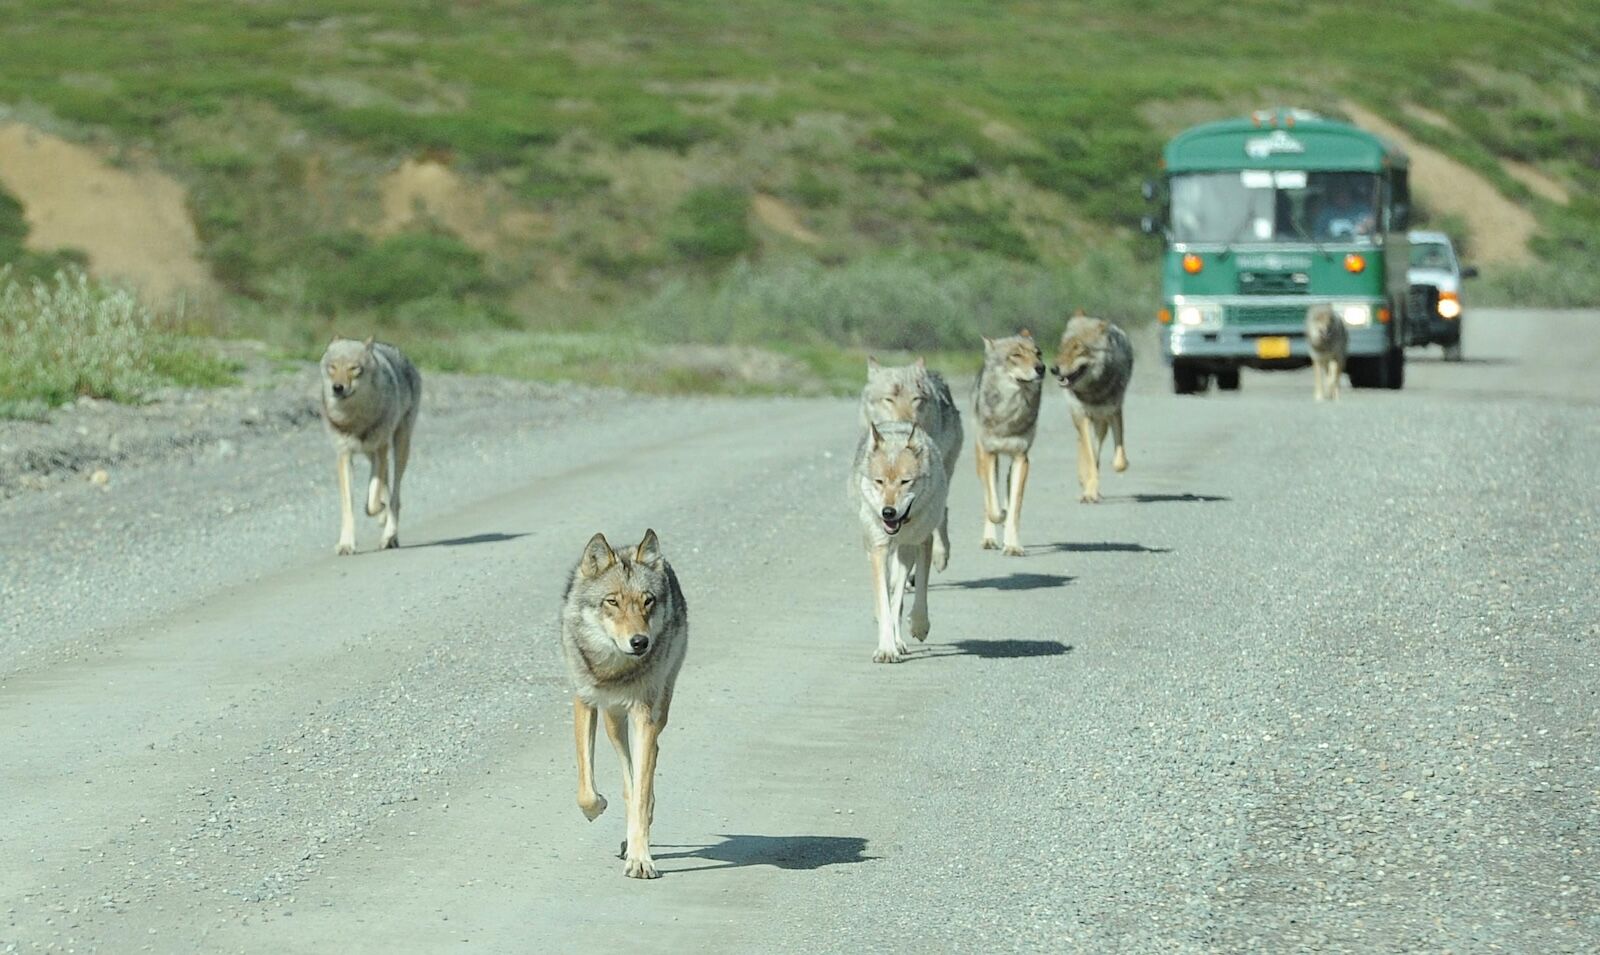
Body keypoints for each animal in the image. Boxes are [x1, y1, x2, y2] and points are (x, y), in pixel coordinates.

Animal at [320, 337, 422, 554]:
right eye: (333, 367)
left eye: (354, 368)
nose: (337, 387)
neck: (355, 419)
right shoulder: (344, 455)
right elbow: (349, 506)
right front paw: (346, 544)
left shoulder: (381, 448)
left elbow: (372, 502)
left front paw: (379, 509)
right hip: (370, 454)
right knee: (387, 485)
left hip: (399, 446)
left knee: (396, 496)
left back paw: (389, 535)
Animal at [561, 529, 688, 880]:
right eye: (612, 601)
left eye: (648, 600)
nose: (640, 642)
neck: (613, 669)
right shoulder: (584, 702)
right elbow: (586, 790)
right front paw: (598, 807)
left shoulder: (644, 714)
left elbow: (641, 789)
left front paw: (640, 858)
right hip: (612, 720)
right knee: (629, 776)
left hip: (657, 709)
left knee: (649, 761)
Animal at [852, 421, 949, 663]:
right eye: (879, 481)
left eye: (905, 482)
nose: (888, 512)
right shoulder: (878, 550)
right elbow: (885, 605)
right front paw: (886, 649)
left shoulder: (923, 541)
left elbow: (920, 591)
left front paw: (919, 627)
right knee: (889, 598)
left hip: (906, 553)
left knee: (899, 597)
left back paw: (901, 640)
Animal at [973, 330, 1046, 555]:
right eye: (1016, 355)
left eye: (1038, 353)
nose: (1041, 368)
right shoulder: (989, 454)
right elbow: (994, 507)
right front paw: (1001, 516)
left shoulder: (1022, 458)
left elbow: (1015, 507)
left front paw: (1013, 546)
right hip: (983, 458)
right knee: (988, 498)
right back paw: (989, 539)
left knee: (1007, 484)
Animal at [1051, 312, 1133, 503]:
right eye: (1062, 348)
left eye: (1078, 348)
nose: (1053, 369)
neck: (1093, 390)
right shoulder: (1083, 416)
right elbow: (1090, 457)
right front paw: (1089, 492)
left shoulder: (1114, 412)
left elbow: (1119, 462)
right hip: (1080, 418)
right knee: (1084, 446)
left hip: (1101, 423)